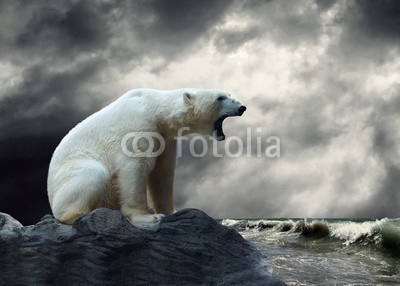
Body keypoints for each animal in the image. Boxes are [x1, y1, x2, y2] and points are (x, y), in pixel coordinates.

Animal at [47, 88, 247, 225]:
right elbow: (134, 167)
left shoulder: (165, 138)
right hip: (71, 172)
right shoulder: (138, 125)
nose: (242, 107)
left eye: (228, 94)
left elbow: (163, 173)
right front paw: (148, 217)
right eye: (220, 98)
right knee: (93, 173)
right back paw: (79, 214)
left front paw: (172, 211)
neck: (155, 108)